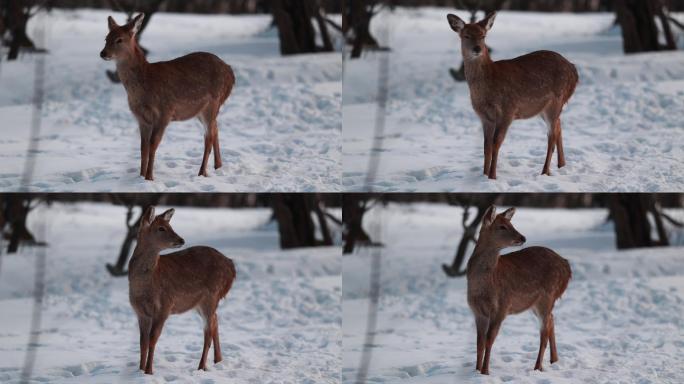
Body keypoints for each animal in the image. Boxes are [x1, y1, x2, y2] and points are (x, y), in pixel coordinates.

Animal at [99, 14, 235, 182]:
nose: (103, 53)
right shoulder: (141, 118)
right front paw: (140, 176)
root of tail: (231, 73)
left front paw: (149, 177)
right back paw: (218, 167)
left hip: (213, 102)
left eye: (119, 40)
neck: (145, 84)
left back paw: (202, 172)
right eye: (106, 38)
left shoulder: (165, 112)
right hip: (202, 110)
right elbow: (143, 147)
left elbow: (153, 145)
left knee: (208, 137)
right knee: (215, 129)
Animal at [127, 206, 235, 374]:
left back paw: (201, 366)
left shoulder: (165, 306)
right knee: (215, 321)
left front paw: (149, 371)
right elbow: (142, 342)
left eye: (170, 225)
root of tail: (232, 267)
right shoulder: (140, 312)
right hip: (200, 303)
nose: (181, 240)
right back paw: (218, 360)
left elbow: (152, 339)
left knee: (208, 333)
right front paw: (140, 370)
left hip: (211, 295)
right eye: (161, 228)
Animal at [448, 12, 576, 180]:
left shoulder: (508, 110)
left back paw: (545, 171)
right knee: (559, 127)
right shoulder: (484, 117)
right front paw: (483, 175)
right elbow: (486, 146)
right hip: (544, 108)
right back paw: (561, 166)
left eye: (483, 36)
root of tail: (574, 71)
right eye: (466, 35)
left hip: (556, 100)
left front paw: (492, 176)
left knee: (551, 136)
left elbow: (496, 143)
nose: (477, 48)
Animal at [464, 206, 572, 374]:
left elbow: (489, 340)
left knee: (544, 332)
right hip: (536, 303)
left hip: (548, 296)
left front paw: (485, 371)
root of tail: (567, 266)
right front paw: (476, 371)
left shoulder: (502, 307)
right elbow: (479, 343)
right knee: (551, 320)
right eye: (502, 226)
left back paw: (537, 367)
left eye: (511, 224)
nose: (523, 237)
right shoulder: (477, 311)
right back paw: (554, 360)